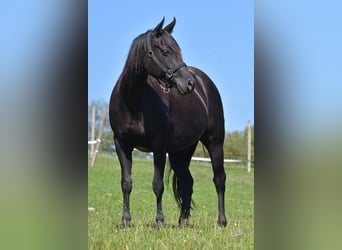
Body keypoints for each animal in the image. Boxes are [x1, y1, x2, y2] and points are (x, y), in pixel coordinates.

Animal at [109, 17, 227, 228]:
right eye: (165, 52)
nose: (189, 83)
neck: (132, 101)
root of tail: (205, 83)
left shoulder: (159, 146)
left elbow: (158, 184)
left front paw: (159, 221)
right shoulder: (121, 144)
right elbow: (126, 183)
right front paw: (125, 221)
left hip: (215, 141)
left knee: (219, 179)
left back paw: (221, 222)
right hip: (181, 151)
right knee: (187, 182)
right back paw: (183, 222)